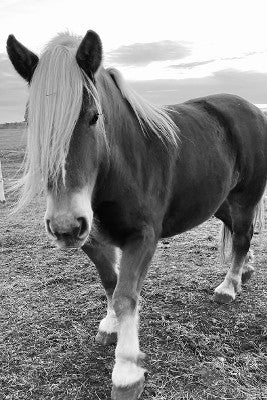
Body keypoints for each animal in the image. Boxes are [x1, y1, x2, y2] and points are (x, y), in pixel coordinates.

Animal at [6, 31, 267, 400]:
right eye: (32, 122)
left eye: (93, 117)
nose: (65, 226)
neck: (119, 167)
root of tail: (251, 108)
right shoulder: (93, 239)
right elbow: (110, 283)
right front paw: (109, 327)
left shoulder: (142, 237)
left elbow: (126, 296)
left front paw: (127, 372)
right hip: (219, 203)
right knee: (241, 233)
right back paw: (246, 272)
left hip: (245, 196)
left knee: (243, 235)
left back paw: (229, 286)